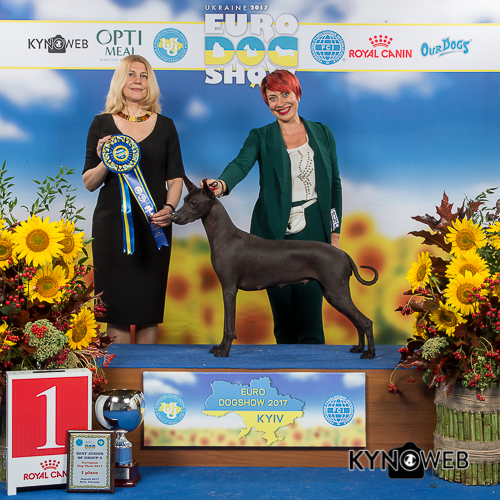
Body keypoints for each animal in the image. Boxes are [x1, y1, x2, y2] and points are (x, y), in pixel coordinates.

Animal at [171, 177, 378, 358]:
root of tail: (343, 254)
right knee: (358, 322)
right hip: (333, 293)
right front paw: (220, 347)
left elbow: (229, 325)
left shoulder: (229, 289)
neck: (225, 236)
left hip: (337, 292)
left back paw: (370, 353)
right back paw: (359, 348)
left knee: (366, 322)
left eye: (194, 203)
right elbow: (225, 324)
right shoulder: (227, 289)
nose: (173, 217)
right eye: (184, 200)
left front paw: (225, 351)